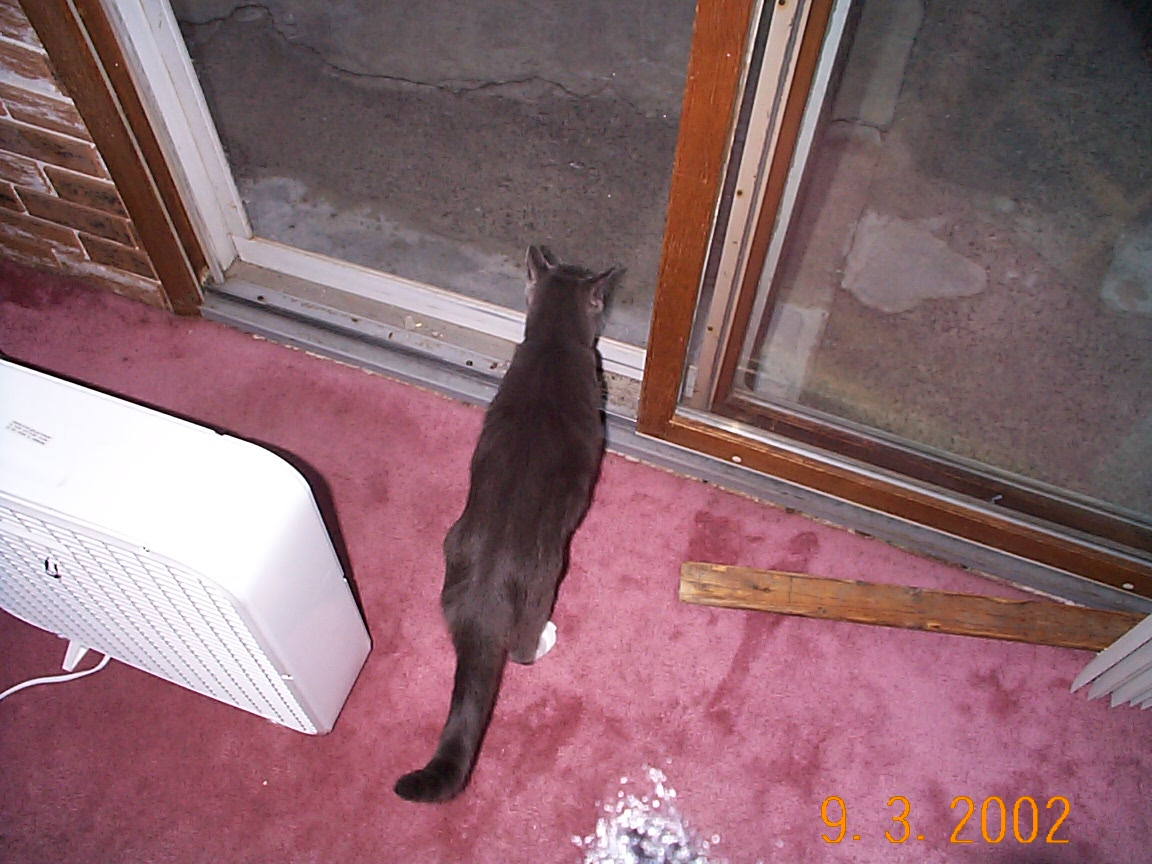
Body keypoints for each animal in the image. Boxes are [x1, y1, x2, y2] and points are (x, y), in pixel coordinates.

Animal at [394, 245, 616, 803]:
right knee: (522, 650)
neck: (552, 344)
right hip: (548, 572)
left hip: (451, 544)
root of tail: (482, 607)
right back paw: (544, 639)